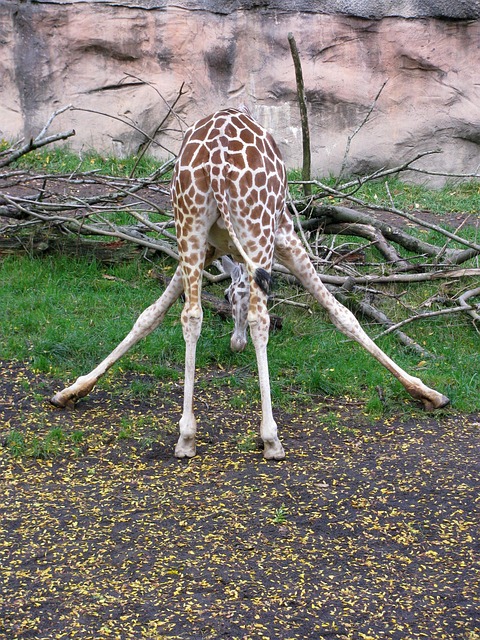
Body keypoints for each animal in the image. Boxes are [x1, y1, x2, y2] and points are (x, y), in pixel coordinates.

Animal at [49, 107, 450, 458]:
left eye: (229, 295)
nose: (234, 343)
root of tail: (216, 160)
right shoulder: (284, 236)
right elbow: (342, 315)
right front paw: (431, 394)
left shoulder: (207, 248)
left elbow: (149, 315)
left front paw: (71, 391)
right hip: (258, 231)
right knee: (261, 320)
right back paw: (271, 438)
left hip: (188, 224)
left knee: (191, 315)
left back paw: (186, 437)